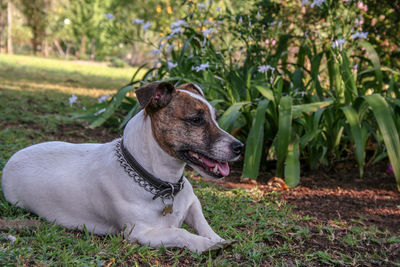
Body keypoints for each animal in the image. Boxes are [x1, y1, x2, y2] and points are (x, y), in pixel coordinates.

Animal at [1, 82, 244, 254]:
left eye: (216, 118)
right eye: (195, 120)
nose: (240, 147)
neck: (163, 183)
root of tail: (13, 158)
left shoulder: (192, 203)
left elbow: (203, 223)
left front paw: (216, 238)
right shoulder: (141, 233)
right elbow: (181, 232)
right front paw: (205, 245)